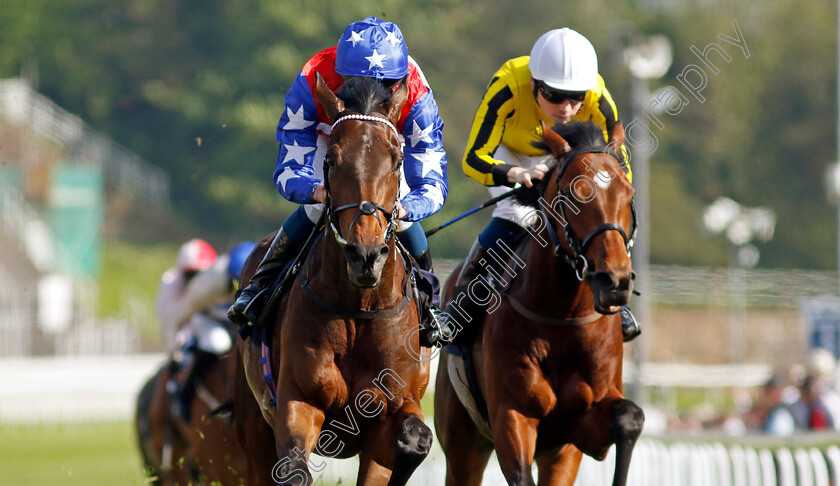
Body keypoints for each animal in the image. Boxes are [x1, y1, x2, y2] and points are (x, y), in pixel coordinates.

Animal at [233, 72, 434, 486]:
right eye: (330, 160)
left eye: (398, 160)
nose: (366, 255)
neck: (359, 308)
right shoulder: (298, 402)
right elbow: (293, 470)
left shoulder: (392, 408)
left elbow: (414, 439)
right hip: (253, 423)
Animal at [434, 120, 644, 486]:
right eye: (574, 194)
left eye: (629, 194)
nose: (615, 280)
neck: (561, 314)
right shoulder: (511, 415)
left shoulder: (576, 430)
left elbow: (630, 417)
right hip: (462, 438)